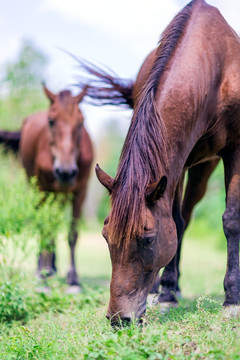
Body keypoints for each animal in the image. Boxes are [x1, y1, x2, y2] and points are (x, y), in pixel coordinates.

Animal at [0, 85, 93, 290]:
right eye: (51, 121)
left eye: (81, 122)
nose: (65, 172)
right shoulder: (43, 191)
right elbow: (45, 230)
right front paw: (43, 277)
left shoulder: (80, 192)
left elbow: (72, 234)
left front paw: (73, 279)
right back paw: (43, 270)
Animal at [86, 0, 240, 322]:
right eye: (105, 236)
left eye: (148, 239)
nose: (119, 318)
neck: (214, 67)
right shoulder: (176, 162)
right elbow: (176, 223)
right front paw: (167, 292)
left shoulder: (236, 148)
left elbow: (231, 220)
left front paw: (232, 299)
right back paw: (163, 288)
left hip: (203, 168)